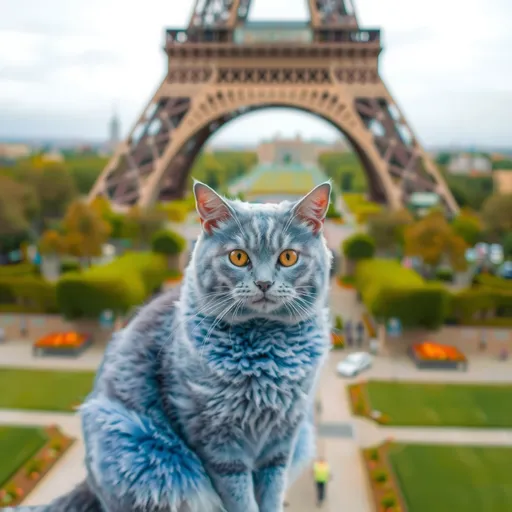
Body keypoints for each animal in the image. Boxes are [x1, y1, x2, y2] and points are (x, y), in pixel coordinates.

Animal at [12, 182, 334, 510]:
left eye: (289, 257)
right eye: (238, 257)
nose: (264, 283)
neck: (265, 353)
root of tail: (88, 483)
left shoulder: (282, 439)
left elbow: (271, 491)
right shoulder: (216, 440)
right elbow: (240, 498)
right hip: (141, 453)